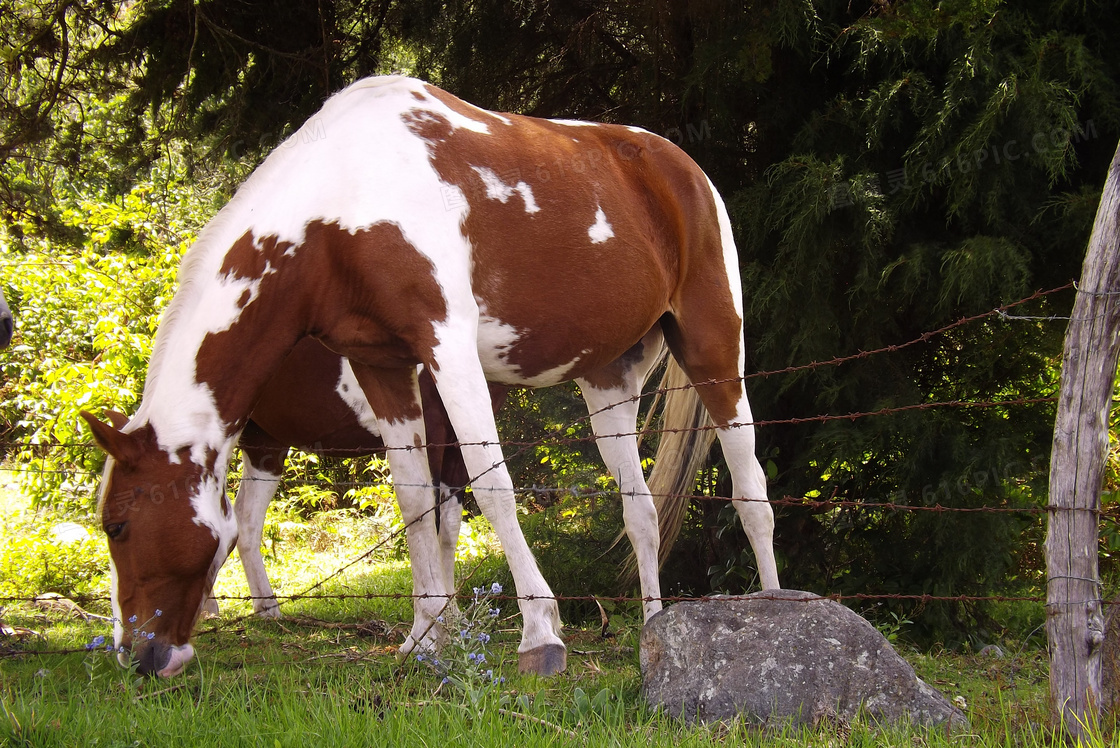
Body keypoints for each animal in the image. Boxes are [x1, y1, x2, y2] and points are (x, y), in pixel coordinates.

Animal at [204, 338, 508, 618]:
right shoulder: (430, 432)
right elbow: (431, 523)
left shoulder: (458, 445)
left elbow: (448, 529)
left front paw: (452, 614)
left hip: (265, 445)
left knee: (245, 519)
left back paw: (264, 608)